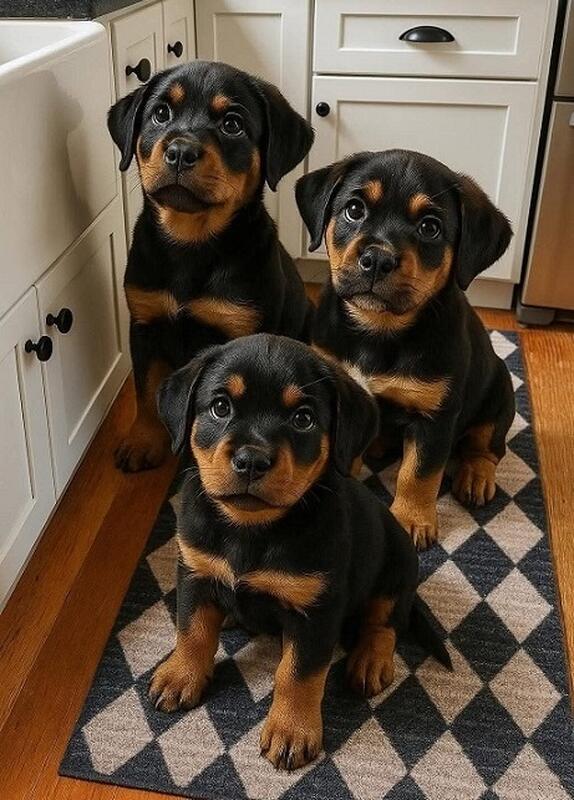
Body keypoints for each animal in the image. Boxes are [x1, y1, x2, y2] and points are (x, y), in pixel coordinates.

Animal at [107, 61, 314, 472]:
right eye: (160, 114)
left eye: (232, 124)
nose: (180, 151)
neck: (191, 244)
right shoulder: (145, 323)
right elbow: (145, 389)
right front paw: (142, 440)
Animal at [148, 333, 451, 771]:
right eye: (220, 407)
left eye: (303, 419)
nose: (251, 460)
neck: (251, 531)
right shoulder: (195, 572)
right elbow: (192, 631)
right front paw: (180, 675)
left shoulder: (316, 611)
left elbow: (298, 674)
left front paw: (292, 731)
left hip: (397, 566)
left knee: (385, 621)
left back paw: (370, 661)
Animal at [295, 149, 515, 550]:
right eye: (354, 209)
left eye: (430, 227)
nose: (377, 259)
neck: (379, 332)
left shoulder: (435, 417)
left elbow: (419, 474)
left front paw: (411, 521)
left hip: (499, 395)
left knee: (488, 446)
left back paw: (476, 476)